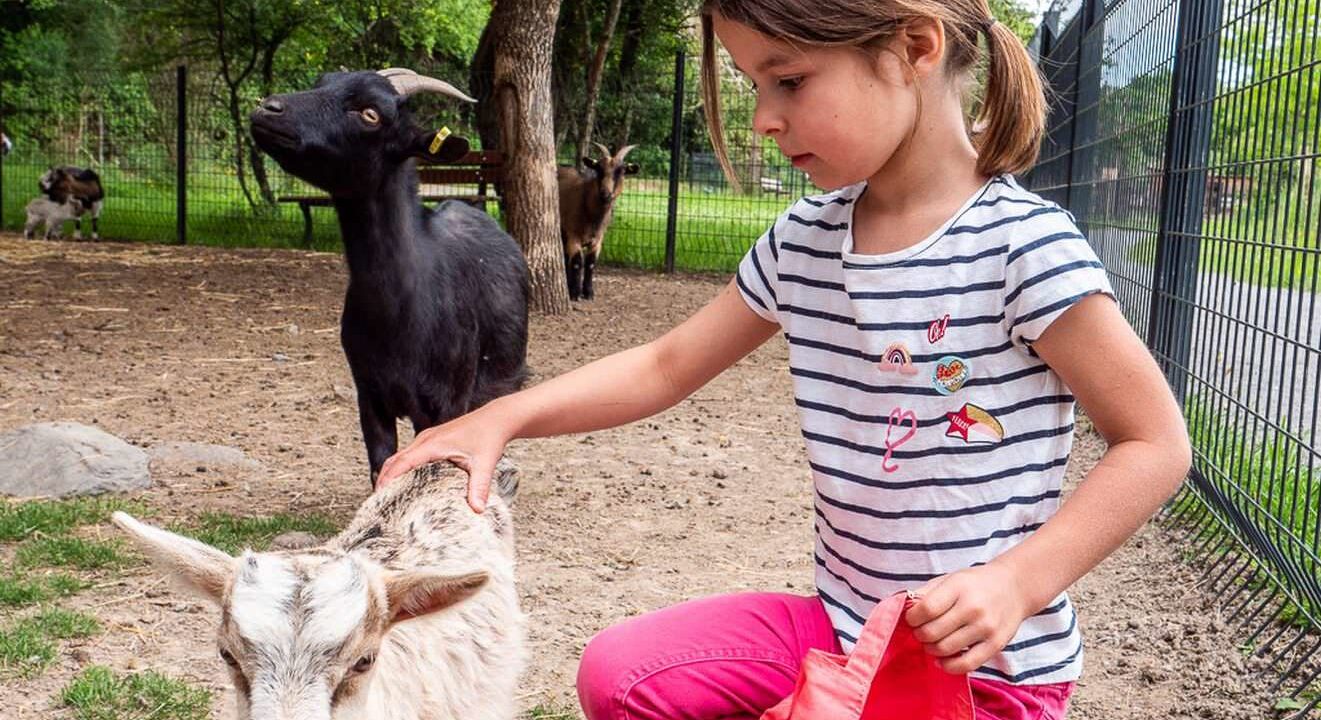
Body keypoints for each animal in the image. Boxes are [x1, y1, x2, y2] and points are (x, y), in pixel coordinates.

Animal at [249, 68, 528, 483]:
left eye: (370, 114)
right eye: (321, 82)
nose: (268, 108)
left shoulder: (446, 402)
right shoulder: (370, 396)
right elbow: (382, 468)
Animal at [557, 143, 639, 299]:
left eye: (621, 171)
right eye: (598, 169)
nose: (605, 194)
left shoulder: (598, 239)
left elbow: (590, 263)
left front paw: (588, 292)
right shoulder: (573, 235)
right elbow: (577, 262)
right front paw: (575, 293)